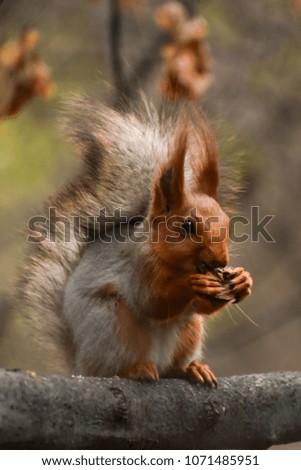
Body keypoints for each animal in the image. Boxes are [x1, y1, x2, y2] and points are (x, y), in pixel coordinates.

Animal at [20, 101, 251, 384]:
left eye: (228, 223)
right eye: (187, 226)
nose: (221, 261)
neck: (176, 263)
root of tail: (79, 364)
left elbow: (202, 307)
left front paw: (242, 280)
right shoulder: (138, 265)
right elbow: (152, 301)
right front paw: (193, 283)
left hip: (189, 333)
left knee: (174, 360)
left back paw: (191, 368)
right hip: (113, 323)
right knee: (109, 366)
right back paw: (134, 370)